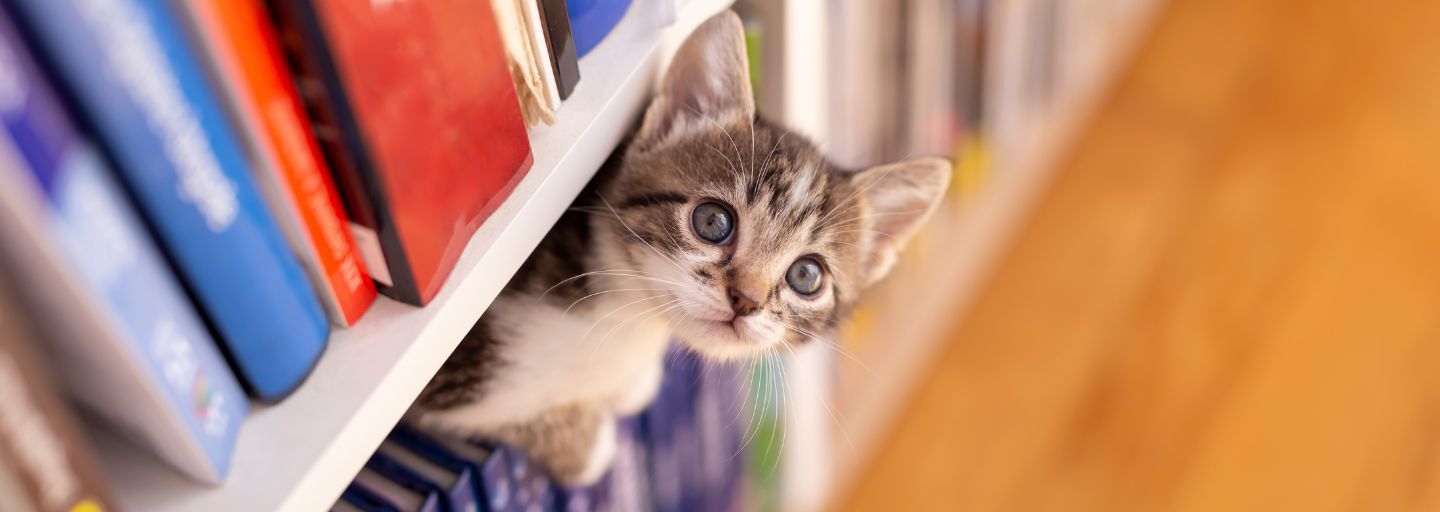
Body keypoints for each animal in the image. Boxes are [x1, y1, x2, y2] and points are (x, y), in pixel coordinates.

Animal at [406, 11, 950, 483]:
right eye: (712, 222)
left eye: (806, 276)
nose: (746, 301)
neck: (625, 319)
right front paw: (586, 442)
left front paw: (626, 391)